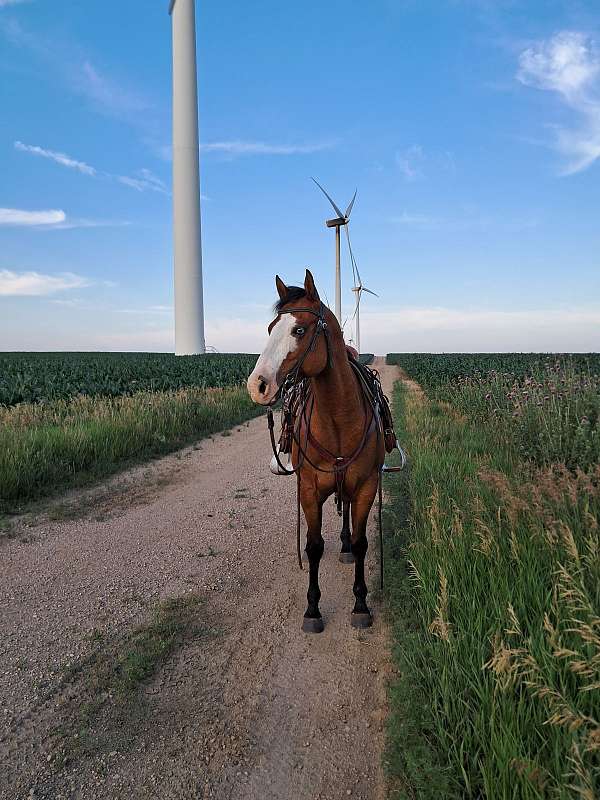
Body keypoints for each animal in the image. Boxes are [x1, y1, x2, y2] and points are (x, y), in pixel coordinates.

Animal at [247, 269, 385, 633]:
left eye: (299, 330)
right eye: (270, 328)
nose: (257, 385)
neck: (338, 419)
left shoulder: (366, 486)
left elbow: (363, 543)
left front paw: (361, 604)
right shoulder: (308, 490)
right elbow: (313, 547)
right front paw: (312, 609)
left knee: (348, 512)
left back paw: (347, 546)